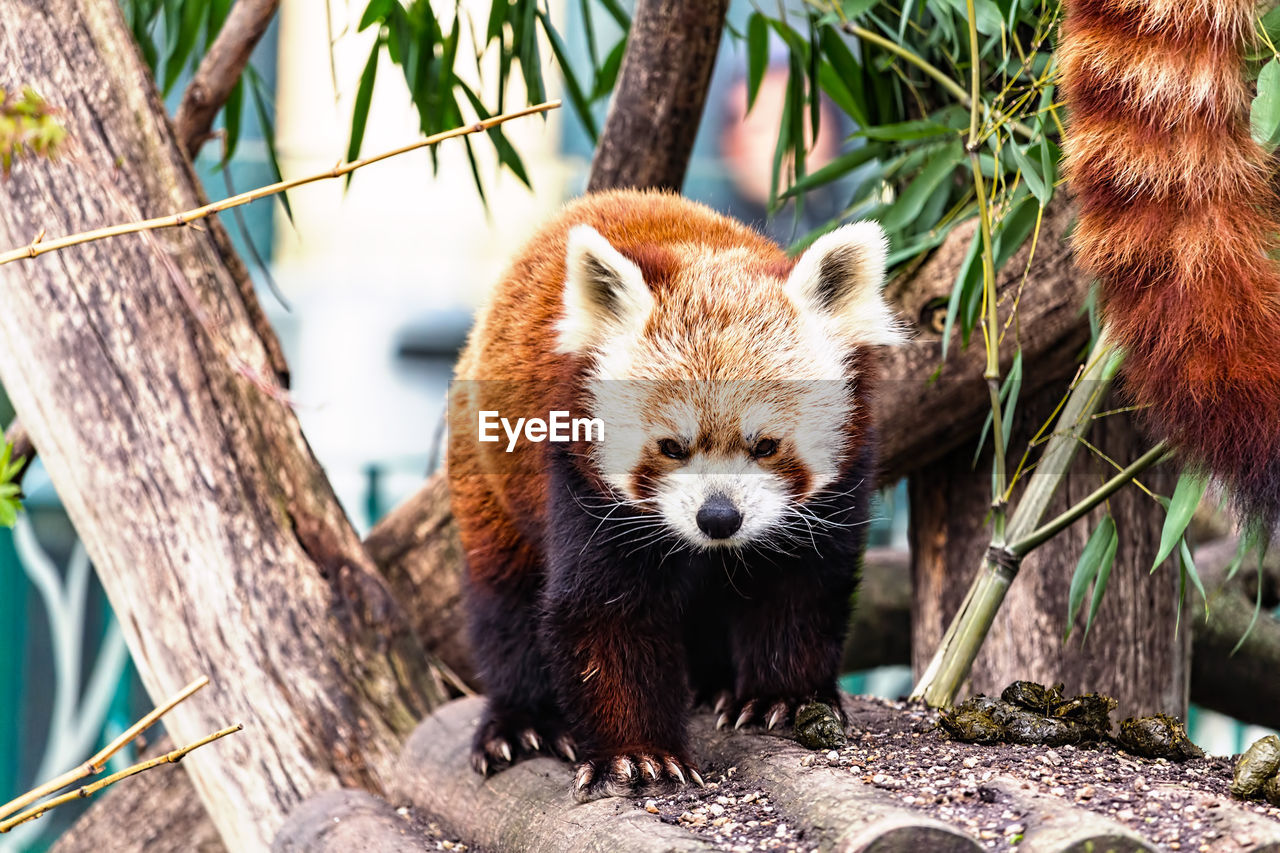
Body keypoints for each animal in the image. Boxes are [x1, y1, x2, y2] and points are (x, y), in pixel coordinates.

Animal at [448, 189, 901, 794]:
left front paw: (781, 697)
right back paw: (522, 724)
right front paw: (639, 753)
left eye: (765, 445)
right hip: (487, 476)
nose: (718, 518)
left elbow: (799, 586)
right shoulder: (581, 477)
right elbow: (603, 614)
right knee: (504, 603)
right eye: (671, 447)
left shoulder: (842, 476)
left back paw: (714, 685)